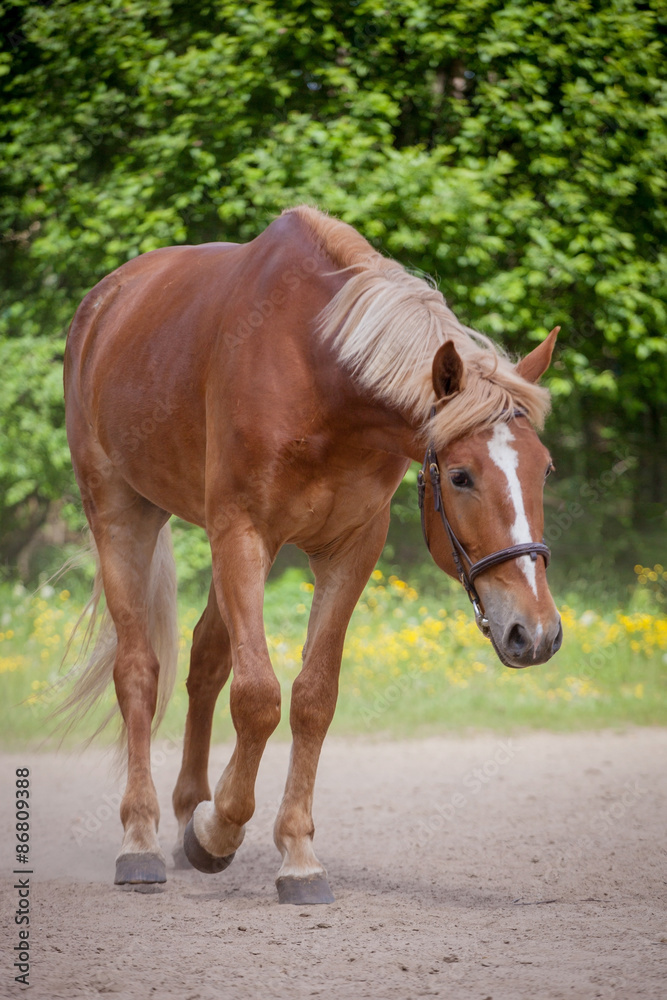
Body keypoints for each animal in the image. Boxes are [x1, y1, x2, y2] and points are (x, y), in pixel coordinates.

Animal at [63, 205, 562, 905]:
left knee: (206, 662)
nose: (535, 631)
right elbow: (258, 698)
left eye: (545, 469)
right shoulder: (243, 533)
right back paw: (141, 840)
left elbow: (312, 697)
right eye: (461, 476)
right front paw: (220, 831)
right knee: (139, 671)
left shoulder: (350, 550)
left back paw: (189, 810)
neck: (322, 379)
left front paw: (295, 854)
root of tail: (104, 304)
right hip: (121, 512)